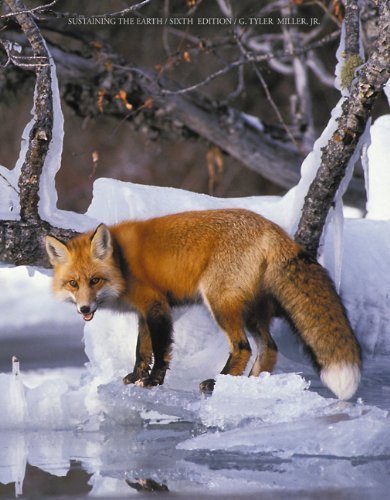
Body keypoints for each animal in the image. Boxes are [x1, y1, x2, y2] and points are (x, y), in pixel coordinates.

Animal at [46, 209, 362, 400]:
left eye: (95, 280)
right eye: (73, 284)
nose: (84, 309)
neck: (122, 264)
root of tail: (272, 228)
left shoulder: (158, 305)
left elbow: (160, 351)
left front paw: (153, 381)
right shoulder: (144, 311)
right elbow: (141, 350)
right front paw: (136, 376)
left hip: (219, 302)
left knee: (243, 347)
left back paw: (218, 383)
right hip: (251, 310)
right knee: (269, 348)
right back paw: (249, 387)